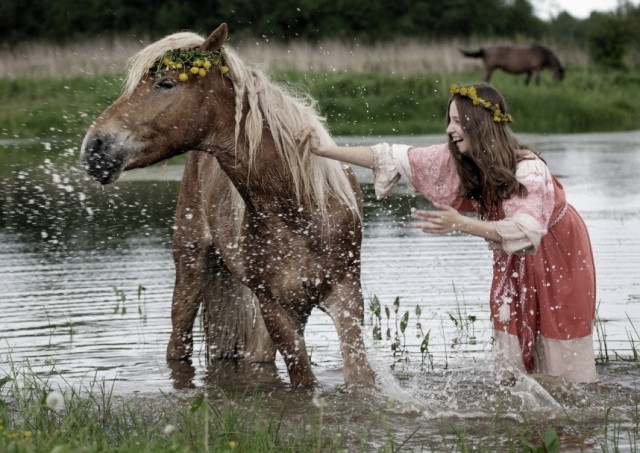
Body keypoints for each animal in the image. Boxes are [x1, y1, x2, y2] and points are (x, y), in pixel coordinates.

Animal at [82, 23, 378, 386]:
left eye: (165, 83)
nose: (94, 148)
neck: (299, 207)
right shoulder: (275, 307)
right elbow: (303, 378)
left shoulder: (345, 295)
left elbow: (358, 378)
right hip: (192, 267)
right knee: (179, 345)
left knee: (254, 356)